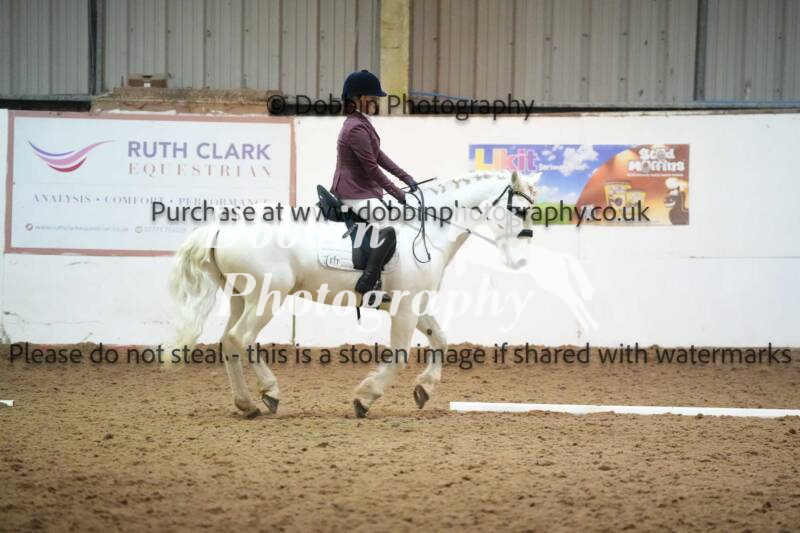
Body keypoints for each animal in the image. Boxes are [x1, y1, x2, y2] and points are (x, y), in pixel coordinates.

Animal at [167, 171, 537, 418]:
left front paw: (424, 389)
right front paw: (365, 398)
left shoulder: (414, 305)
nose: (520, 261)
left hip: (241, 296)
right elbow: (399, 355)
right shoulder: (405, 308)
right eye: (520, 211)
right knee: (238, 339)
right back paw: (259, 398)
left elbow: (441, 340)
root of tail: (220, 227)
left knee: (230, 341)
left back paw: (254, 400)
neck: (429, 229)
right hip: (267, 296)